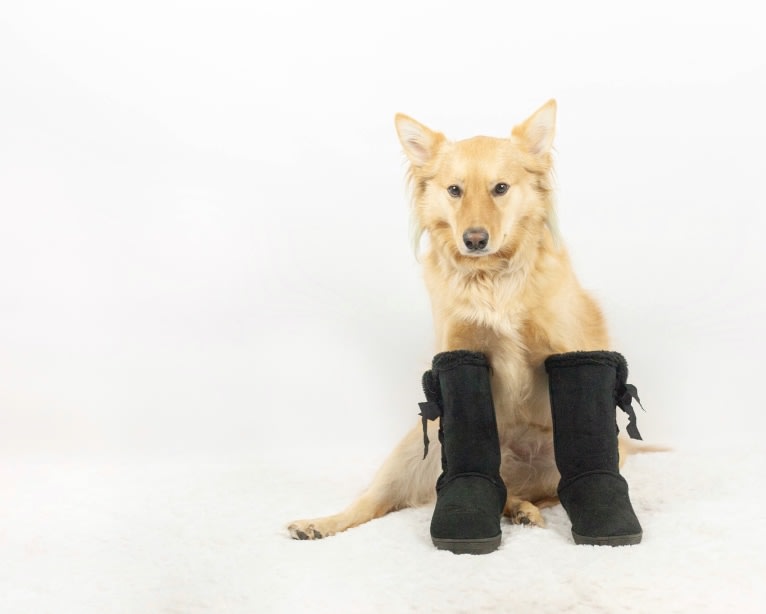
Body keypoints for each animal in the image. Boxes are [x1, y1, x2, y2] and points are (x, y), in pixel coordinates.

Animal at [288, 98, 632, 540]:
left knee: (527, 492)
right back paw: (319, 524)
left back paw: (524, 510)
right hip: (416, 449)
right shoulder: (457, 348)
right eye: (455, 190)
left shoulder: (565, 346)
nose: (475, 240)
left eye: (500, 188)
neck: (492, 278)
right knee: (376, 501)